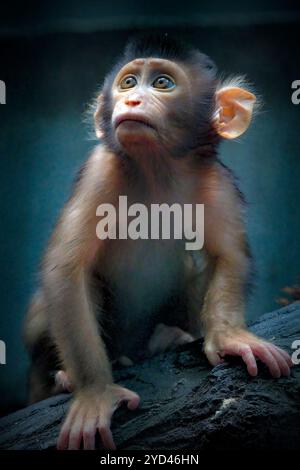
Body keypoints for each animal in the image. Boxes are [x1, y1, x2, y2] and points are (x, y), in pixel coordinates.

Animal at [24, 35, 292, 450]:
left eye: (163, 83)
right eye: (128, 82)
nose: (132, 101)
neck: (156, 170)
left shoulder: (215, 181)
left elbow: (229, 257)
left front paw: (230, 336)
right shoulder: (100, 171)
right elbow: (66, 271)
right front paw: (95, 392)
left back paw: (169, 338)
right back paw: (64, 378)